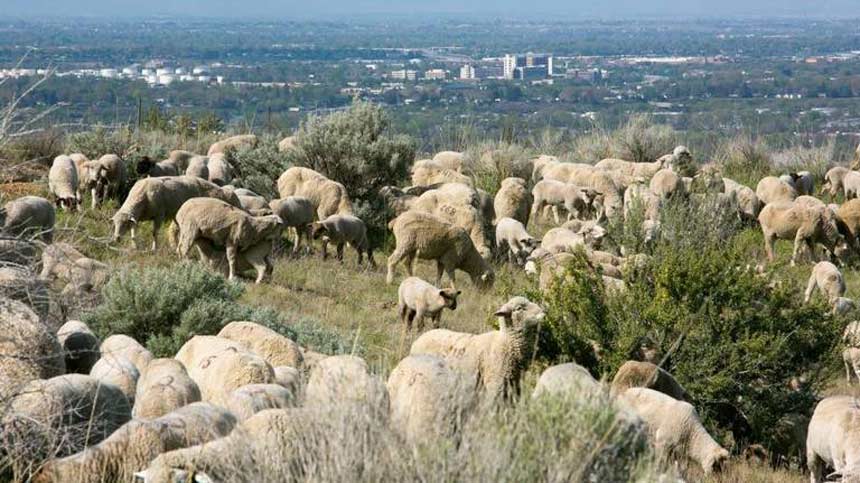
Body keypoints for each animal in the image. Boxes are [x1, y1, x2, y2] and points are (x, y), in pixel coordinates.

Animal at [112, 175, 242, 251]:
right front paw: (134, 246)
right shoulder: (136, 218)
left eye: (124, 224)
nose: (116, 238)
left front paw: (154, 249)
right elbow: (133, 233)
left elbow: (154, 233)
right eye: (115, 224)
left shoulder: (159, 215)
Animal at [410, 296, 545, 401]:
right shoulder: (495, 383)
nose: (543, 313)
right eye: (519, 308)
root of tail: (419, 339)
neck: (505, 342)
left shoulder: (515, 383)